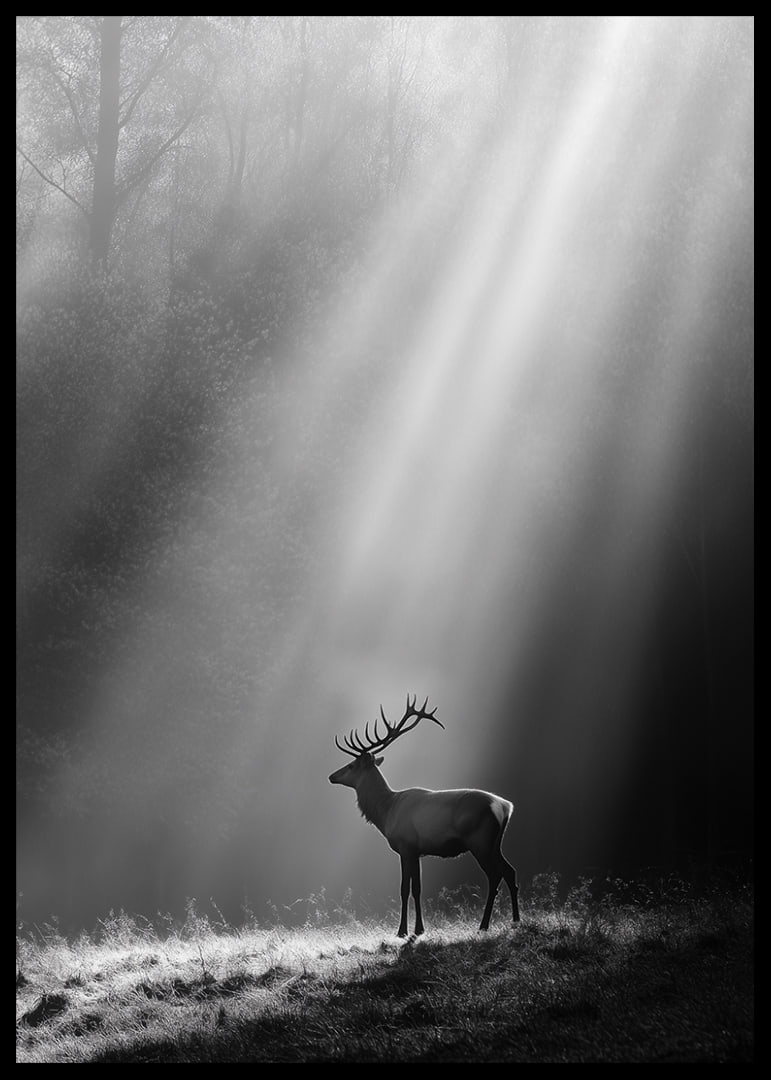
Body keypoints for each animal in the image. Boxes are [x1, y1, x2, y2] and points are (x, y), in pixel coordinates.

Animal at [329, 694, 520, 937]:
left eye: (352, 765)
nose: (331, 776)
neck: (386, 812)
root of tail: (505, 806)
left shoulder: (405, 846)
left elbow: (404, 889)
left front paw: (402, 931)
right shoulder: (418, 851)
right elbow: (418, 889)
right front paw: (419, 929)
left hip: (480, 841)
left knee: (495, 876)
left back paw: (483, 926)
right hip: (495, 844)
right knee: (510, 871)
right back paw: (516, 921)